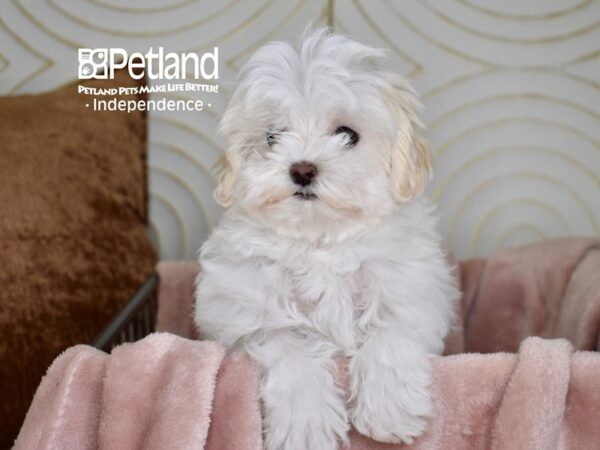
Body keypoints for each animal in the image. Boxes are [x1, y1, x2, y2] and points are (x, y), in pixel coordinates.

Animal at [195, 28, 458, 450]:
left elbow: (391, 332)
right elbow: (288, 346)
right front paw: (307, 426)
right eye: (273, 137)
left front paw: (389, 412)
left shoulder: (413, 293)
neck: (320, 240)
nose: (302, 169)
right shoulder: (243, 317)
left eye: (347, 134)